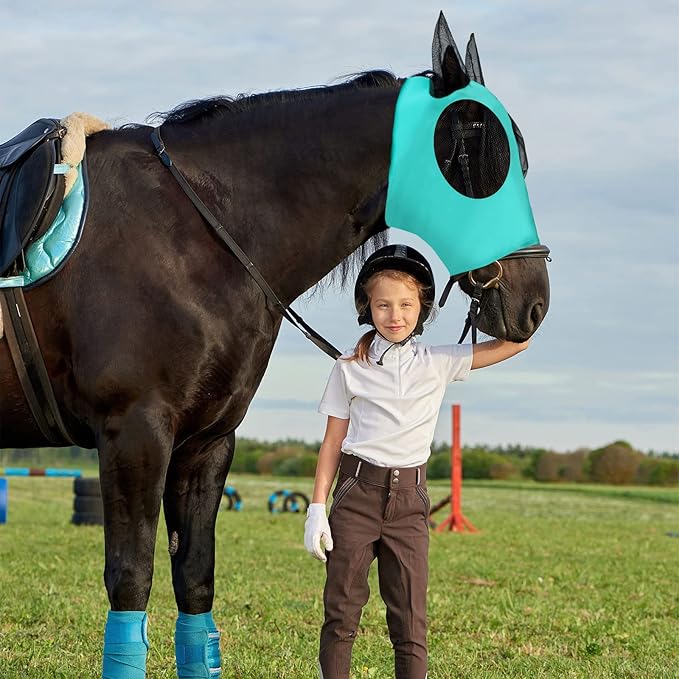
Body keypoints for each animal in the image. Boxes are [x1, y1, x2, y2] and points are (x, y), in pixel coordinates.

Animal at [0, 15, 549, 677]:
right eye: (484, 153)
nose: (534, 301)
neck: (190, 233)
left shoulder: (206, 444)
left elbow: (196, 587)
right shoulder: (133, 434)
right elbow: (131, 583)